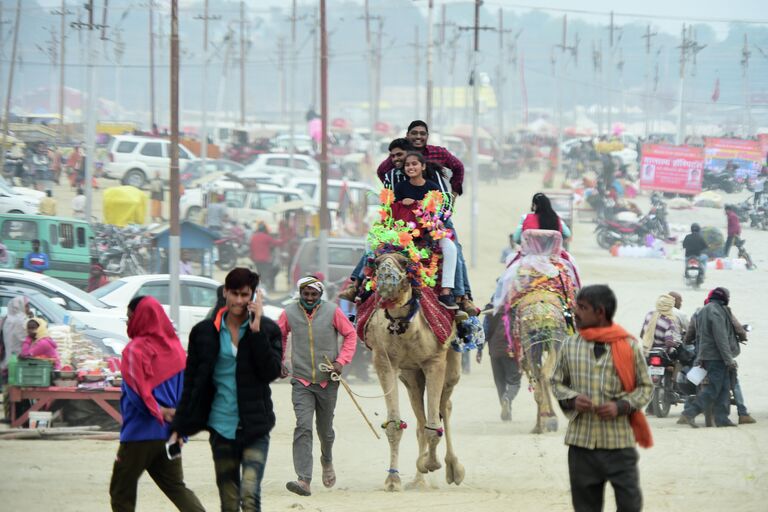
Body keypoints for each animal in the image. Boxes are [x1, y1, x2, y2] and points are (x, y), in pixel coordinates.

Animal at [364, 252, 464, 492]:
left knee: (444, 407)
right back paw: (419, 479)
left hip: (452, 365)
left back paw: (453, 469)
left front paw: (433, 463)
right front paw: (393, 480)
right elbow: (394, 425)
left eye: (404, 262)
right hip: (410, 376)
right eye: (377, 262)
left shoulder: (434, 361)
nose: (386, 276)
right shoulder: (385, 363)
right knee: (420, 417)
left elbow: (434, 425)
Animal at [496, 230, 580, 434]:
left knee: (541, 375)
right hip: (550, 341)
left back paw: (542, 422)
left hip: (533, 343)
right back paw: (548, 420)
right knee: (546, 375)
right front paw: (549, 419)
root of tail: (541, 313)